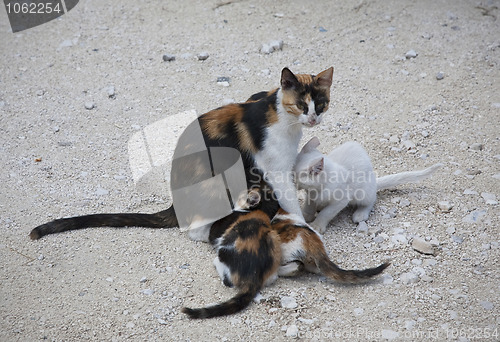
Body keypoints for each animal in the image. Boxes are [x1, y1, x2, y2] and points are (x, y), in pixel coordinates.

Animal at [29, 67, 334, 240]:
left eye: (321, 104)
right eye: (300, 105)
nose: (313, 119)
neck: (282, 116)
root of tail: (175, 204)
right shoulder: (276, 169)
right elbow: (292, 203)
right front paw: (306, 226)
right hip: (219, 177)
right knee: (197, 229)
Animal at [292, 136, 442, 232]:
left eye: (293, 175)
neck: (317, 189)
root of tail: (374, 181)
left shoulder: (341, 200)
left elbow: (326, 213)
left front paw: (317, 225)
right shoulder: (310, 195)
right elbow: (309, 205)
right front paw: (305, 216)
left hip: (363, 193)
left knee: (371, 201)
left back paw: (360, 214)